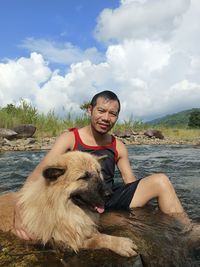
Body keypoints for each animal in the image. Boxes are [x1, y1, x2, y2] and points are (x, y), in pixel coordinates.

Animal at [0, 151, 138, 258]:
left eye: (99, 172)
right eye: (83, 177)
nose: (110, 194)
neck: (59, 207)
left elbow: (97, 234)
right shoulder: (71, 241)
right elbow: (99, 239)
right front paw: (121, 244)